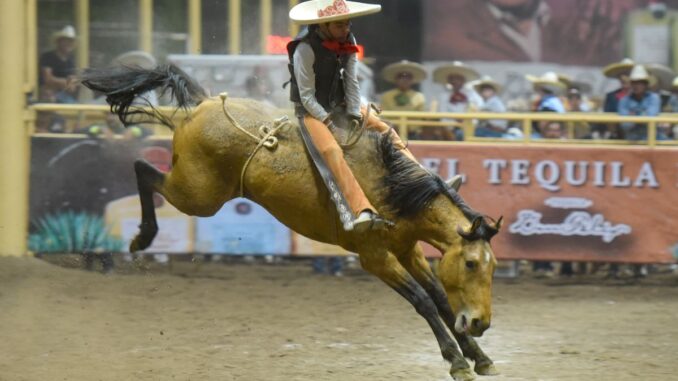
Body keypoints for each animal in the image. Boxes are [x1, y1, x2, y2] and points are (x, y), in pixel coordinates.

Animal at [81, 63, 504, 378]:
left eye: (492, 267)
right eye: (470, 263)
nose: (481, 322)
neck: (393, 189)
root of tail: (203, 104)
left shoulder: (408, 249)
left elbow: (441, 298)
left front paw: (480, 357)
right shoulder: (375, 257)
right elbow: (423, 301)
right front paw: (457, 361)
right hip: (196, 195)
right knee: (142, 167)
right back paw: (142, 238)